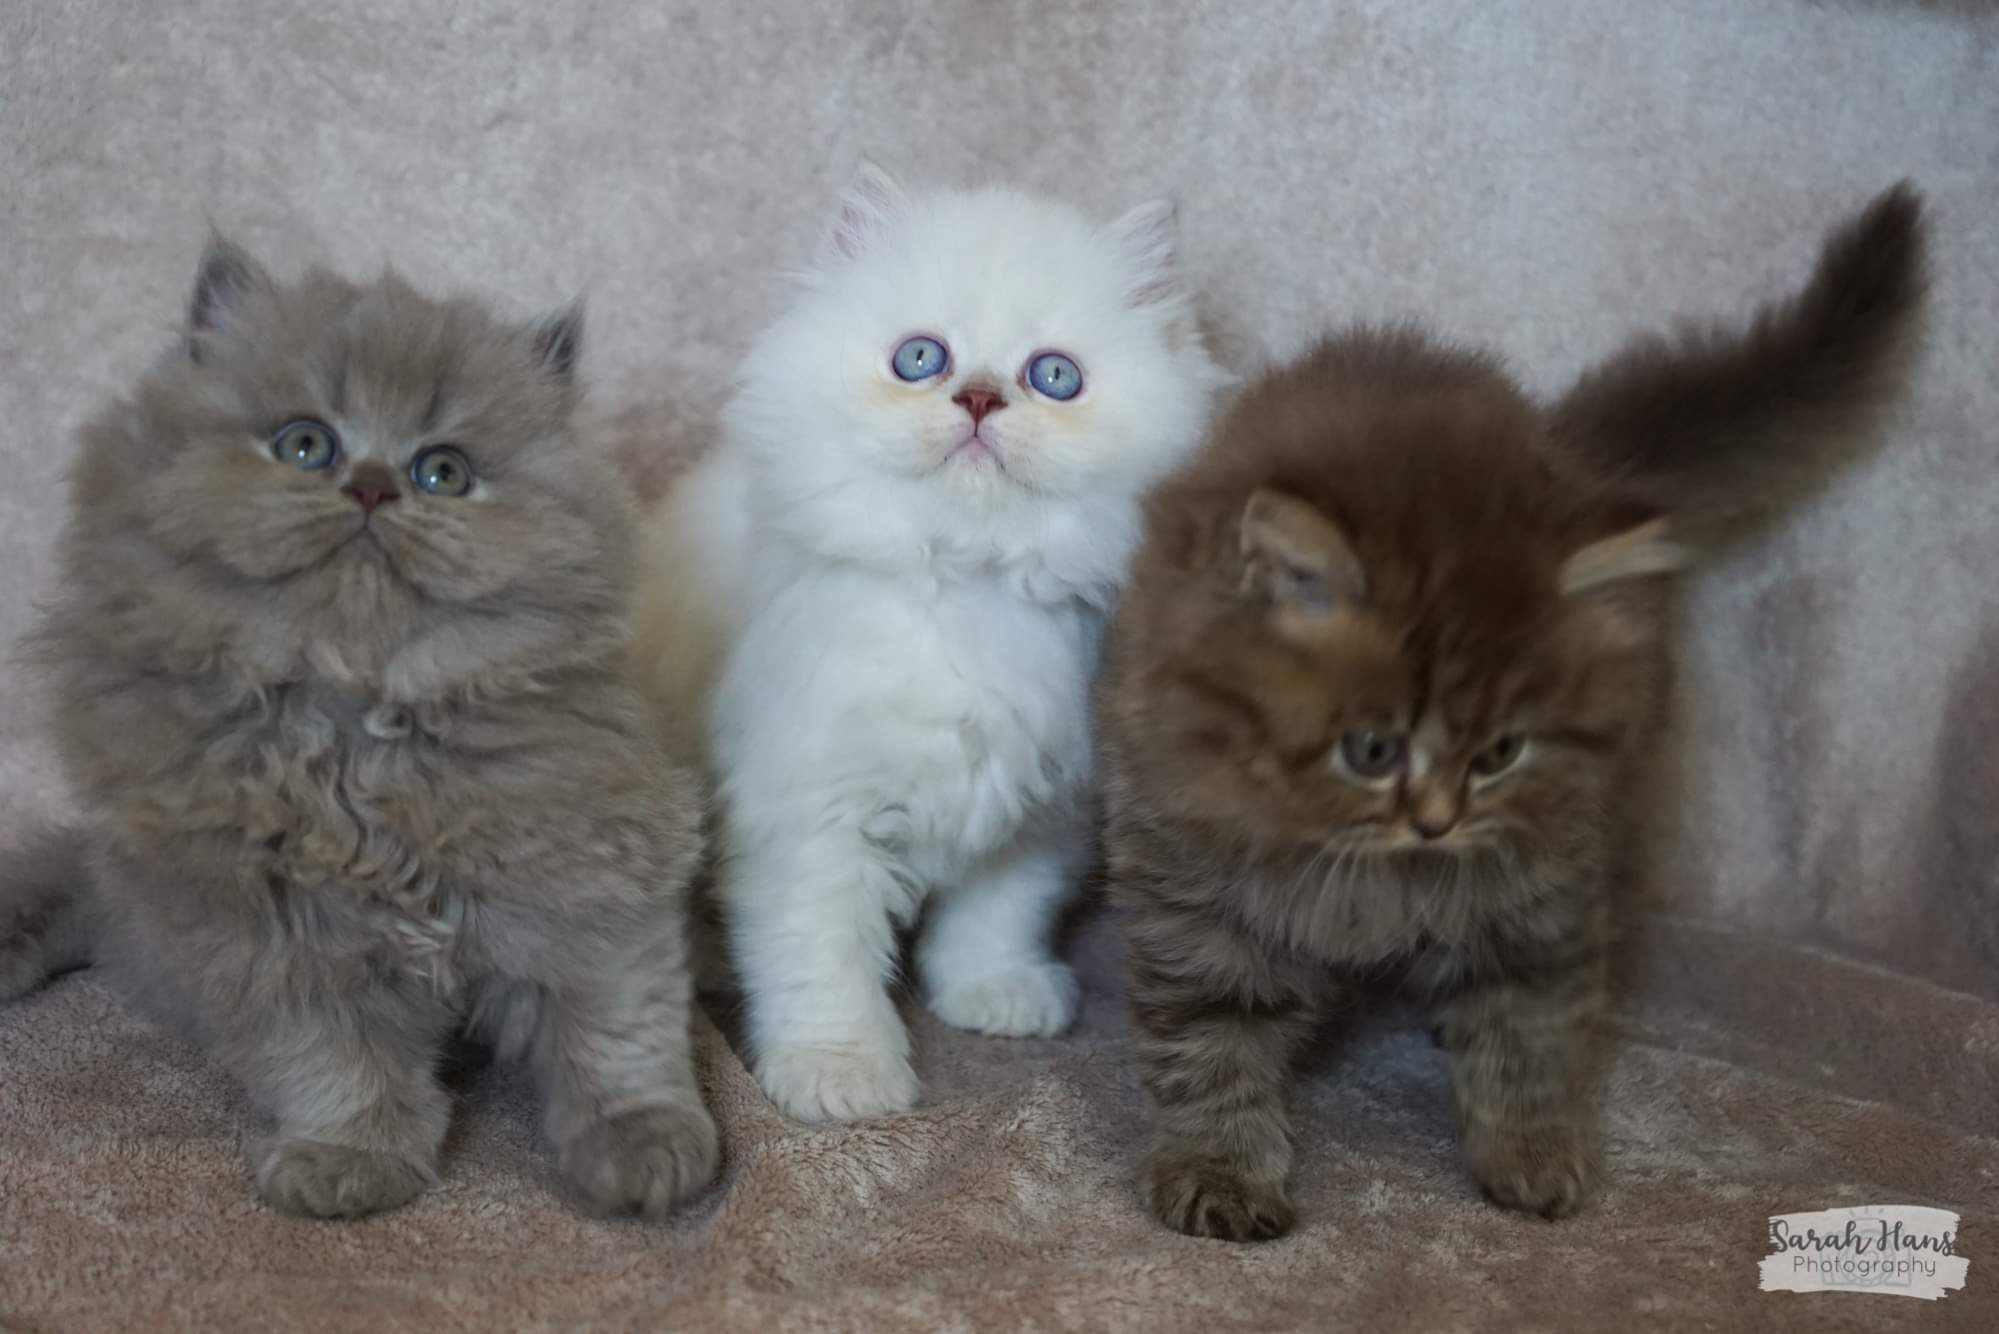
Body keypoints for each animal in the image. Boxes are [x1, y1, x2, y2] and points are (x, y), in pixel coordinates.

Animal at [0, 240, 719, 1224]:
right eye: (305, 446)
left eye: (442, 471)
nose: (373, 485)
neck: (362, 729)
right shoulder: (269, 934)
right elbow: (335, 1064)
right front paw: (350, 1160)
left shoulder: (592, 876)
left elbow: (616, 1031)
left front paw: (647, 1145)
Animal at [635, 170, 1231, 1128]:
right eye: (921, 360)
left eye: (1052, 377)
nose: (980, 398)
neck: (968, 586)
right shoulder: (809, 819)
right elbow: (822, 963)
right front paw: (838, 1076)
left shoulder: (1042, 808)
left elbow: (997, 918)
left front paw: (997, 996)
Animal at [1103, 185, 1927, 1240]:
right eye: (1370, 749)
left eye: (1499, 752)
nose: (1436, 822)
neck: (1372, 873)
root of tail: (1579, 456)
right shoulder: (1191, 877)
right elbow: (1210, 1035)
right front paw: (1221, 1173)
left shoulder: (1540, 883)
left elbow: (1526, 1031)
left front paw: (1531, 1156)